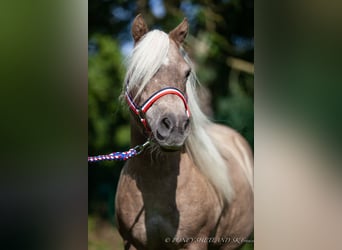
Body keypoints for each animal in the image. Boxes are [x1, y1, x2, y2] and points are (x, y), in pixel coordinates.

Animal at [116, 14, 252, 249]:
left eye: (186, 72)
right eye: (138, 73)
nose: (175, 126)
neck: (157, 182)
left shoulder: (194, 242)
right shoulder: (131, 243)